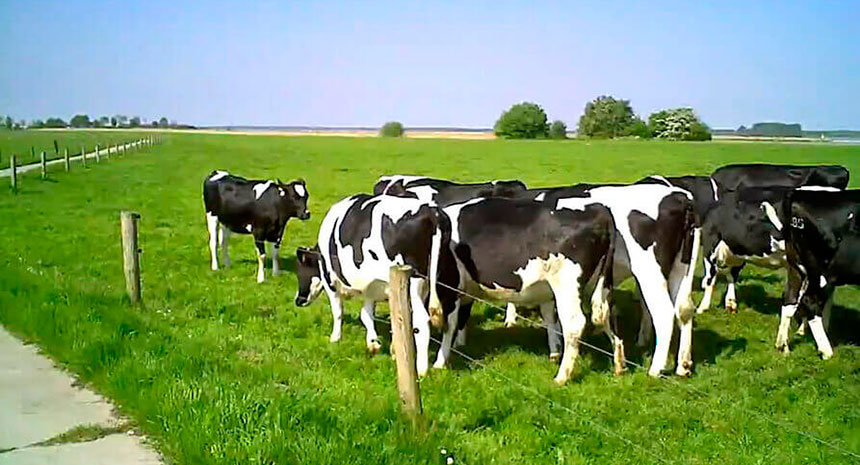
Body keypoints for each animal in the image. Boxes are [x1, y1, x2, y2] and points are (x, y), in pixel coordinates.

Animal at [294, 194, 460, 376]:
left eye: (300, 271)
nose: (298, 300)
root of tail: (432, 212)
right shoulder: (371, 288)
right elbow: (367, 315)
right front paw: (378, 345)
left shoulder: (330, 280)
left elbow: (338, 312)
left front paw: (335, 338)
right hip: (446, 282)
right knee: (451, 321)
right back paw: (440, 363)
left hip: (414, 282)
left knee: (423, 320)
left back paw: (422, 369)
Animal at [772, 187, 860, 358]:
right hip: (822, 271)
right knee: (810, 301)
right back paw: (826, 352)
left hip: (796, 267)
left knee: (790, 298)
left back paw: (783, 346)